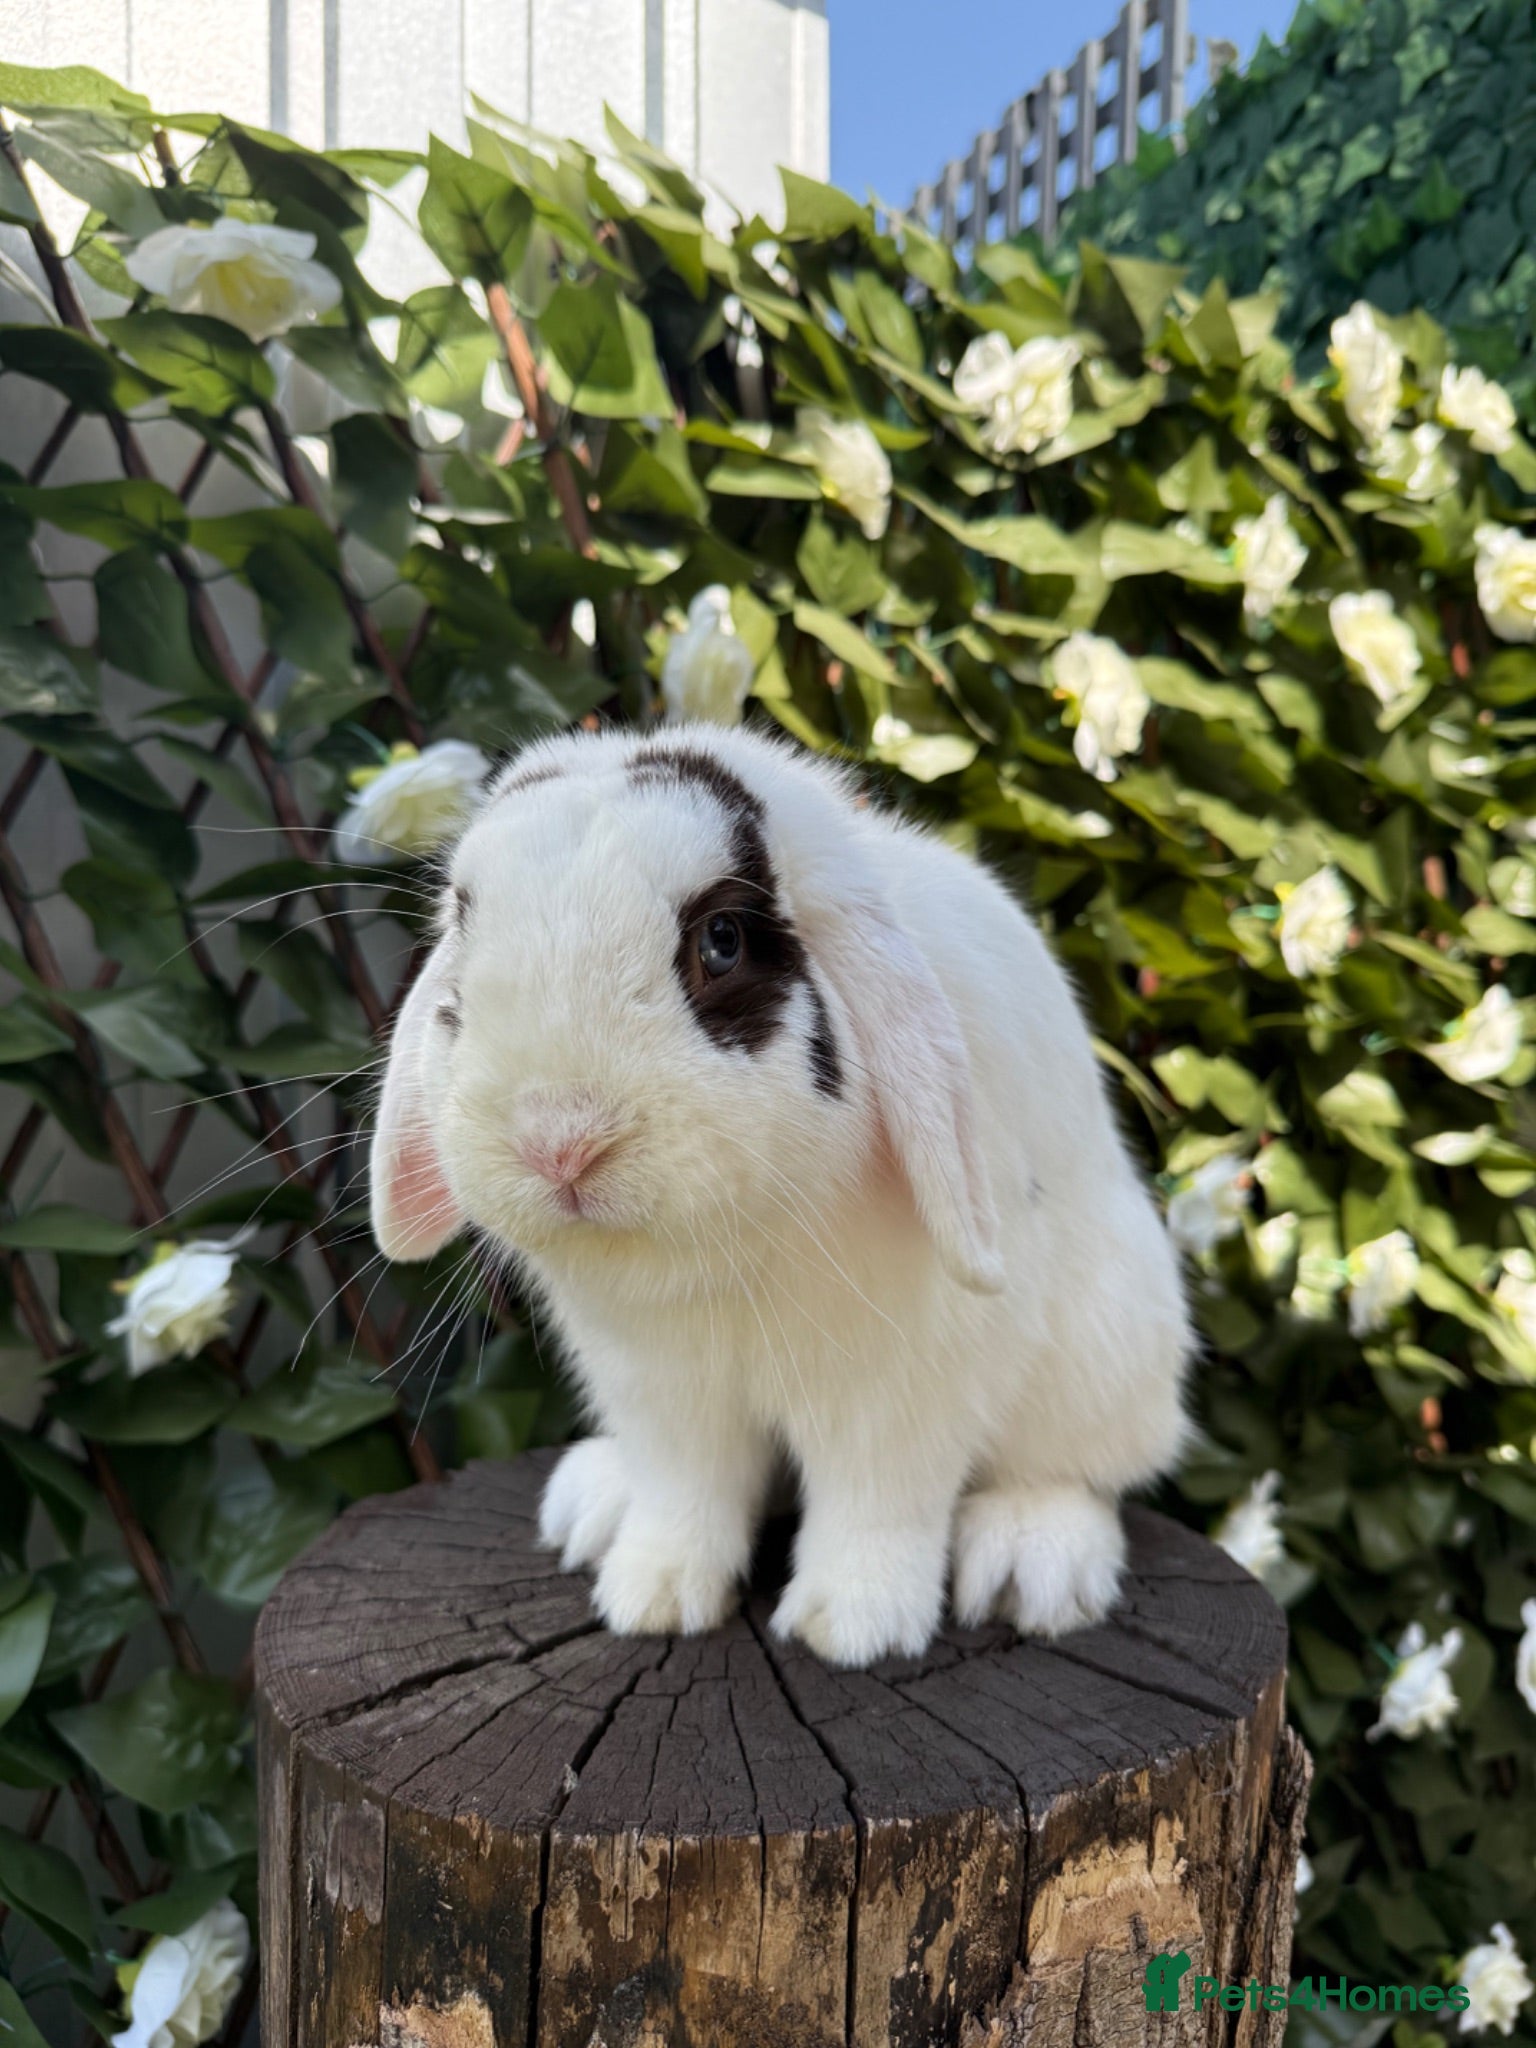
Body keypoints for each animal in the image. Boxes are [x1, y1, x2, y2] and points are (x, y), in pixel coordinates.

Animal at [370, 723, 1191, 1667]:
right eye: (466, 929)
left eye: (721, 940)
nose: (558, 1141)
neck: (721, 1250)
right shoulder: (662, 1391)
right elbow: (685, 1492)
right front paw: (651, 1598)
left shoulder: (901, 1386)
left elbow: (879, 1501)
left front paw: (853, 1631)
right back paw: (595, 1505)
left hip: (1109, 1352)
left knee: (1082, 1469)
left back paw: (1034, 1564)